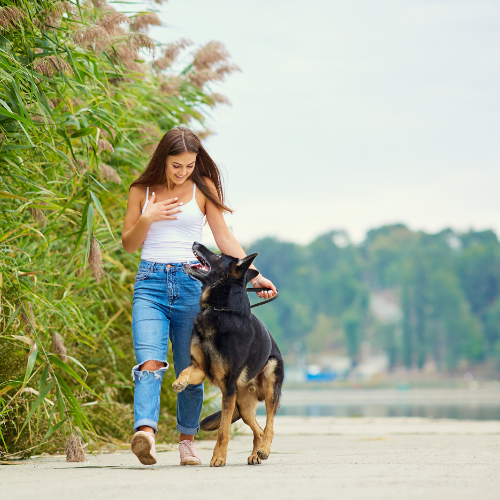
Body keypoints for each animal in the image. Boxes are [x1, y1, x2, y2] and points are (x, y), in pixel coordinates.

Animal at [174, 243, 286, 468]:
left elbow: (223, 430)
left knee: (269, 426)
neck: (219, 310)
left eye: (218, 256)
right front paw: (179, 383)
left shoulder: (228, 388)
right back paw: (255, 454)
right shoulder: (199, 369)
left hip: (268, 385)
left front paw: (218, 457)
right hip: (242, 405)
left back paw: (264, 450)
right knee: (258, 430)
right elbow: (185, 371)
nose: (196, 243)